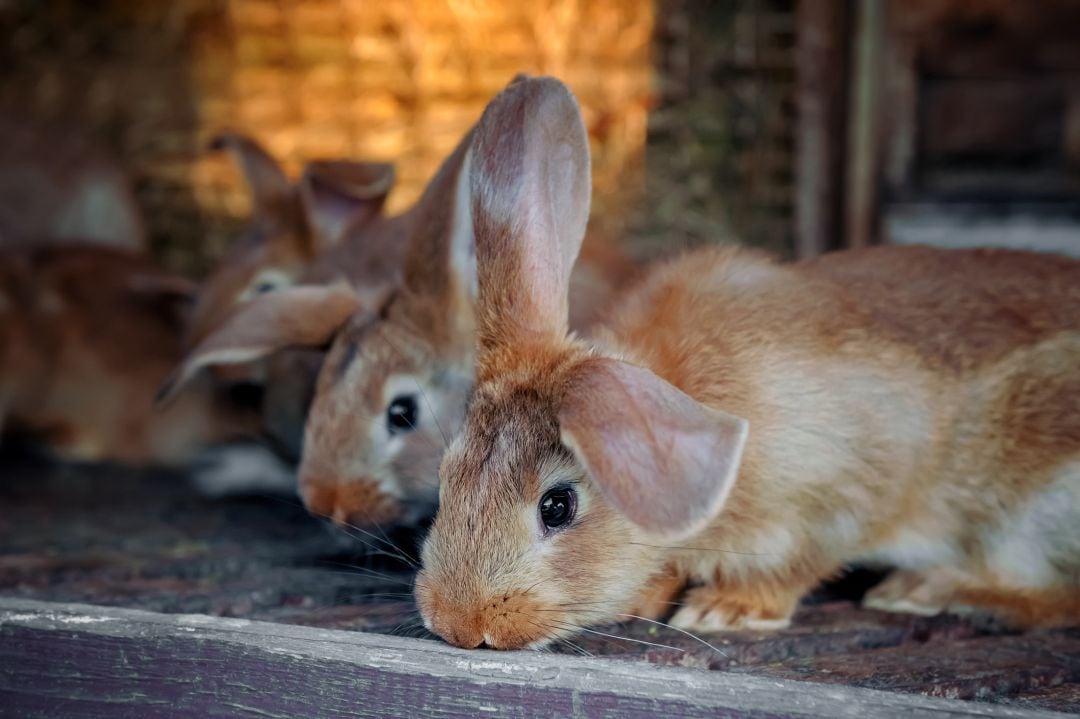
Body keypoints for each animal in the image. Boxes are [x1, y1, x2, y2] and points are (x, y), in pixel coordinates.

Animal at [410, 73, 1080, 647]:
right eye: (445, 478)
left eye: (558, 506)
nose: (459, 623)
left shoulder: (845, 486)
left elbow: (804, 560)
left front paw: (728, 609)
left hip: (1035, 509)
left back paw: (932, 591)